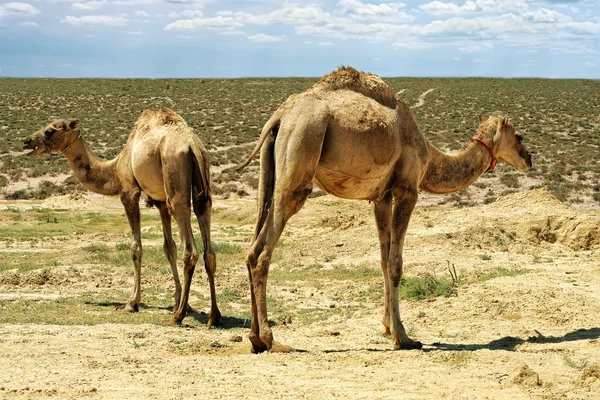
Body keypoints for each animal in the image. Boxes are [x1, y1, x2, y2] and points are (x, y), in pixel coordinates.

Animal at [21, 107, 223, 328]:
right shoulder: (160, 200)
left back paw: (178, 317)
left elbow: (136, 248)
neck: (116, 166)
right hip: (202, 184)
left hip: (176, 183)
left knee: (190, 250)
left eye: (50, 130)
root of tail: (192, 144)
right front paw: (179, 301)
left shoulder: (129, 192)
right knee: (208, 244)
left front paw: (132, 303)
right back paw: (213, 316)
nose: (27, 141)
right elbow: (169, 248)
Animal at [237, 66, 532, 354]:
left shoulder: (381, 197)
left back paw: (254, 338)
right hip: (301, 151)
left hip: (270, 171)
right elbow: (395, 263)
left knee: (252, 248)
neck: (429, 157)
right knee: (263, 252)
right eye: (518, 136)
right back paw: (271, 339)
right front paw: (403, 336)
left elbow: (382, 259)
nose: (529, 159)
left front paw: (387, 327)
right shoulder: (406, 191)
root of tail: (280, 116)